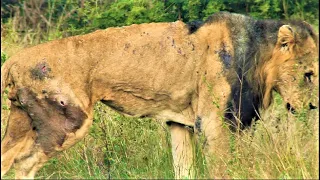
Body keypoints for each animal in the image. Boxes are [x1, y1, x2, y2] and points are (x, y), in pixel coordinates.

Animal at [1, 12, 318, 179]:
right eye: (310, 74)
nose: (314, 106)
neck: (260, 59)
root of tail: (13, 61)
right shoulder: (213, 122)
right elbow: (221, 168)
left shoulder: (180, 123)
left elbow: (184, 169)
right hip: (66, 123)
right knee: (25, 164)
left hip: (23, 122)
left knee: (8, 158)